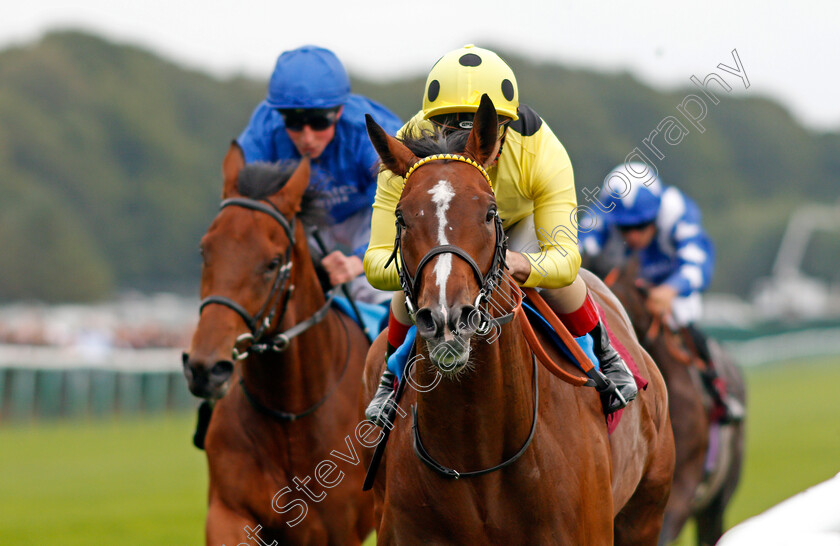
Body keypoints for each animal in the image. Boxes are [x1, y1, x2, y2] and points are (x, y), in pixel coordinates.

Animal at [184, 141, 374, 544]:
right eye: (205, 250)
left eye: (272, 263)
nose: (206, 369)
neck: (290, 414)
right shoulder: (229, 512)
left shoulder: (340, 529)